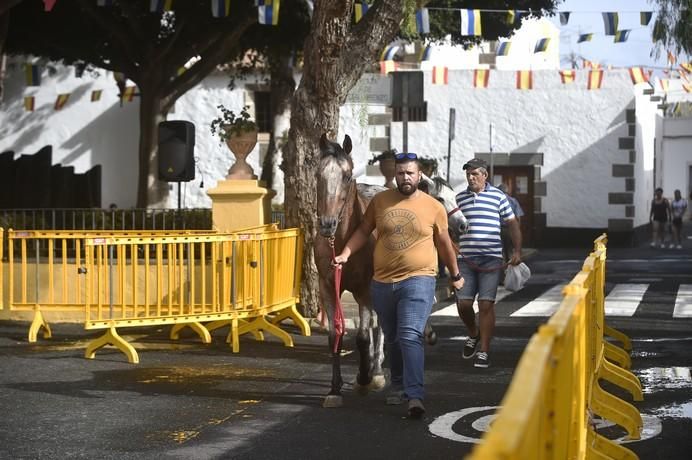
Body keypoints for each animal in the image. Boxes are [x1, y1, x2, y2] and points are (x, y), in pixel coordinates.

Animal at [314, 133, 468, 406]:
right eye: (318, 175)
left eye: (347, 175)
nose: (327, 224)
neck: (342, 241)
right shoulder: (327, 286)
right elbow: (335, 337)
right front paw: (334, 389)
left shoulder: (364, 288)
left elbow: (363, 336)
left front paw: (365, 378)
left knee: (381, 325)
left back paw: (376, 370)